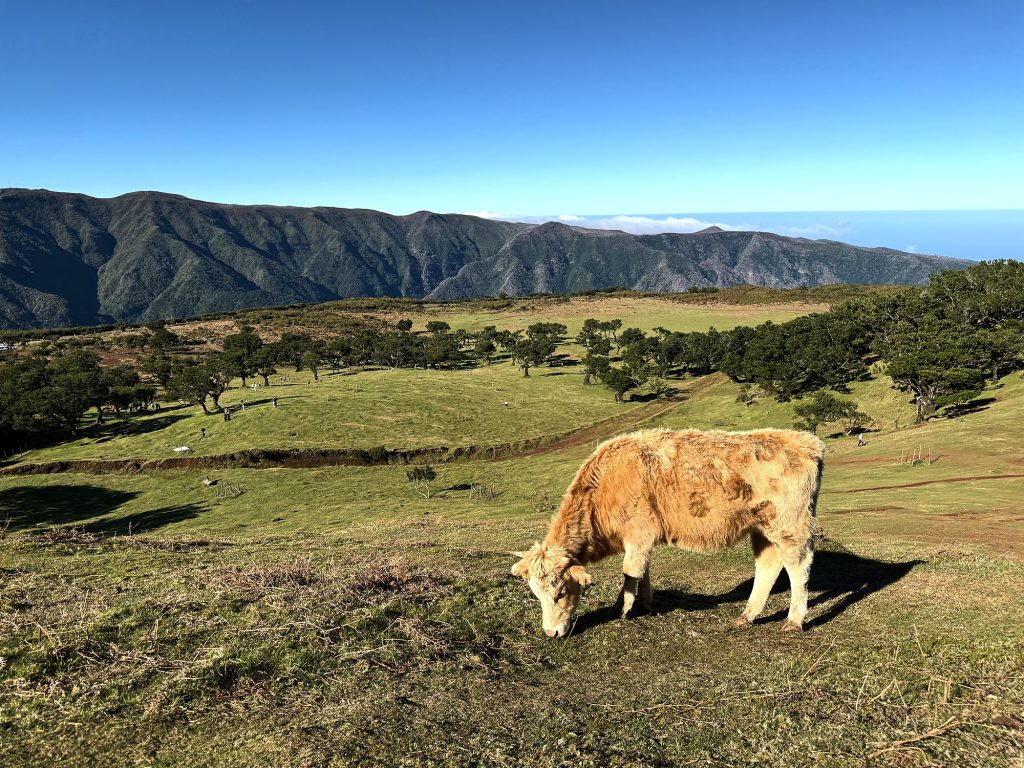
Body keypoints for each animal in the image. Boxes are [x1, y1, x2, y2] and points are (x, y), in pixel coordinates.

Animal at [512, 427, 825, 638]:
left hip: (789, 525)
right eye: (536, 594)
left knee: (798, 565)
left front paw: (621, 609)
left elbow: (630, 572)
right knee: (769, 566)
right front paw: (646, 604)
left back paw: (794, 620)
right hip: (762, 528)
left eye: (562, 592)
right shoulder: (642, 540)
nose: (550, 633)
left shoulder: (639, 533)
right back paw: (747, 615)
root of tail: (806, 441)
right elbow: (643, 571)